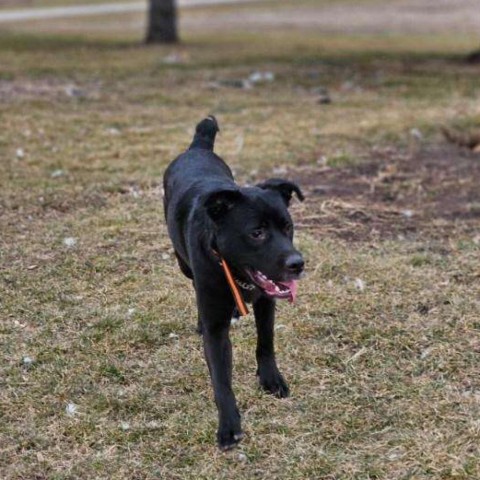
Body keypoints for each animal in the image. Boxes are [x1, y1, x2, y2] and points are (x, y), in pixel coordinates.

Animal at [162, 117, 304, 450]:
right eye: (257, 233)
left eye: (287, 226)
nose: (298, 264)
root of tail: (197, 148)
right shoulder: (216, 327)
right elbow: (221, 379)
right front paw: (228, 426)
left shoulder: (266, 304)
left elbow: (265, 344)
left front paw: (271, 379)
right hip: (183, 264)